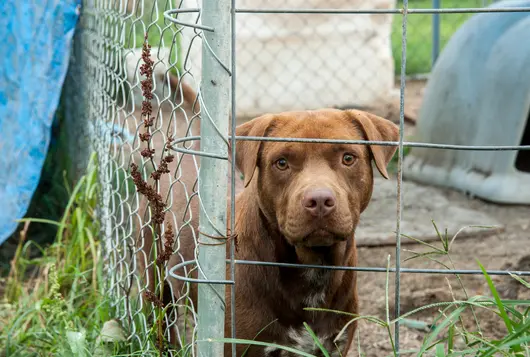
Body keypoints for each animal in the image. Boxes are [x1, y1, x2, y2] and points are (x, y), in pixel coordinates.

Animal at [136, 108, 396, 356]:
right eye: (281, 163)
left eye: (348, 158)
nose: (320, 200)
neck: (312, 267)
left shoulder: (334, 345)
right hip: (154, 279)